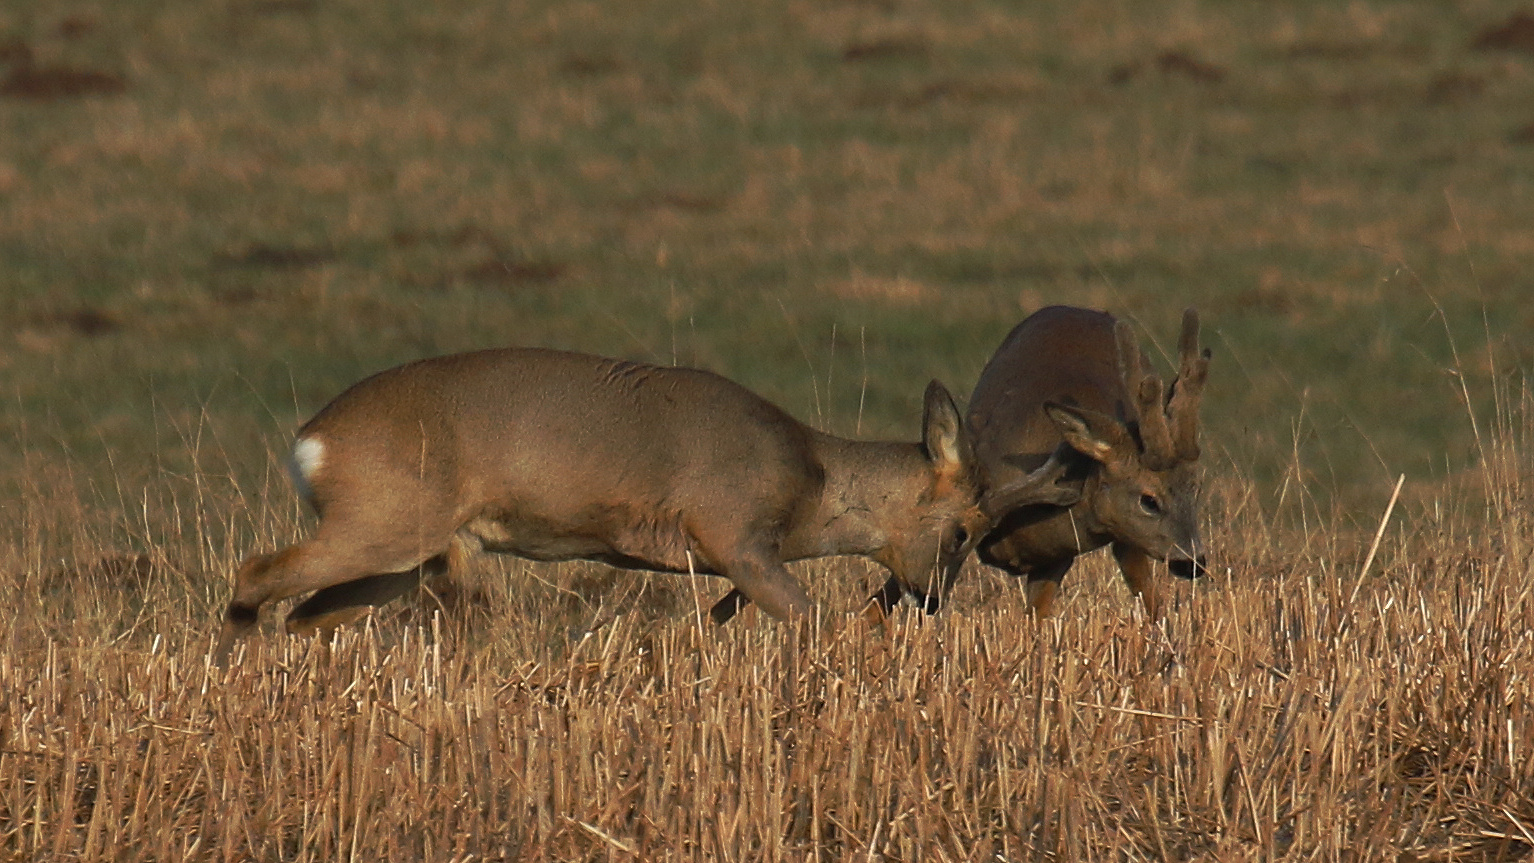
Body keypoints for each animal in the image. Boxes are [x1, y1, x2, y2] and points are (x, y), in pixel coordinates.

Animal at [216, 347, 1079, 659]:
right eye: (964, 528)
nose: (932, 600)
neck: (811, 480)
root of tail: (312, 441)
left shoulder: (731, 562)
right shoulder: (734, 531)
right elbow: (814, 621)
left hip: (406, 552)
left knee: (305, 613)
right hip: (385, 522)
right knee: (255, 575)